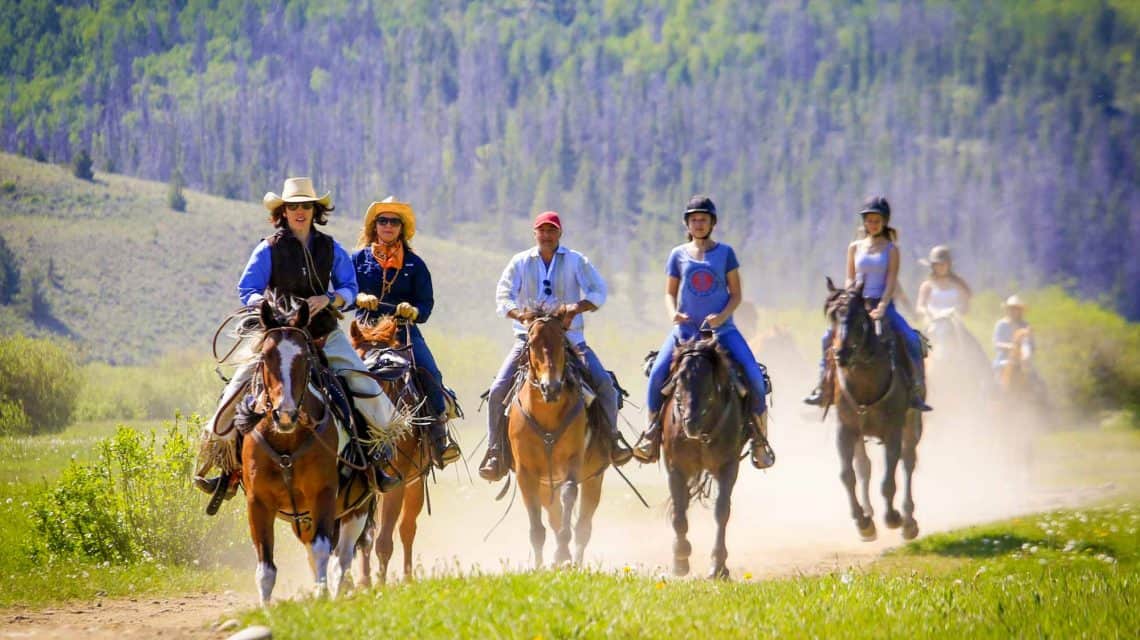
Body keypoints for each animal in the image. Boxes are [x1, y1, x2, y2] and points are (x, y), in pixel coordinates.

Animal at [241, 298, 373, 602]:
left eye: (304, 358)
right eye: (266, 356)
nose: (285, 414)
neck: (287, 442)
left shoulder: (323, 493)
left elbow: (322, 549)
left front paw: (321, 597)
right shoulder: (258, 502)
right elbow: (265, 568)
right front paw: (266, 607)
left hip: (356, 509)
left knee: (341, 558)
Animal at [346, 314, 430, 584]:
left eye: (388, 376)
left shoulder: (399, 482)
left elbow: (384, 540)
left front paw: (381, 584)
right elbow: (363, 537)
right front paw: (362, 583)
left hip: (416, 483)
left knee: (407, 528)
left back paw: (407, 577)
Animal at [513, 308, 611, 563]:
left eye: (562, 342)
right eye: (532, 342)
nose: (552, 387)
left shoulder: (572, 462)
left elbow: (569, 494)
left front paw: (562, 552)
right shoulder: (525, 471)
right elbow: (537, 527)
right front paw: (538, 565)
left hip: (593, 478)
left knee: (583, 526)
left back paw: (574, 561)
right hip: (547, 484)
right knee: (554, 516)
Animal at [661, 330, 747, 577]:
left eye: (708, 379)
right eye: (679, 378)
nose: (691, 422)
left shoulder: (728, 466)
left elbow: (722, 511)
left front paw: (718, 565)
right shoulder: (675, 468)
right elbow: (679, 512)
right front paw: (680, 559)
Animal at [829, 278, 925, 538]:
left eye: (859, 320)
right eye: (832, 317)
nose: (840, 353)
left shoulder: (893, 430)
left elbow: (888, 481)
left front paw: (893, 518)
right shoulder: (845, 430)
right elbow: (847, 475)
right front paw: (862, 522)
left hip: (913, 422)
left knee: (908, 461)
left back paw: (909, 521)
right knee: (864, 467)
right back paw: (869, 512)